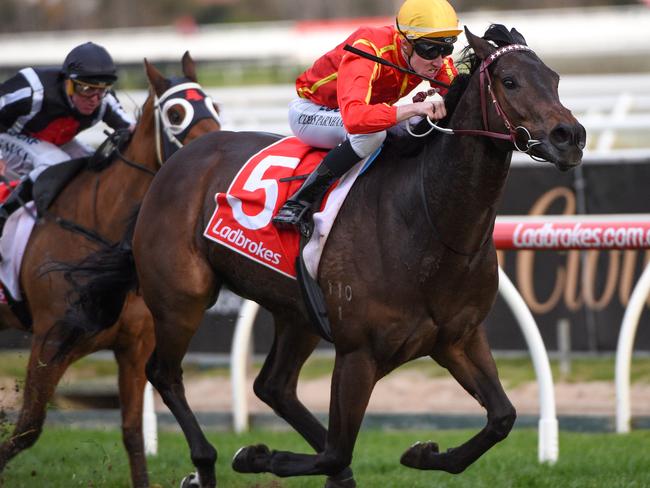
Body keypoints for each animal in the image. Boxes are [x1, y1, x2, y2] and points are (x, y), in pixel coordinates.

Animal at [0, 51, 220, 486]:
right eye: (175, 114)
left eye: (214, 106)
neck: (100, 222)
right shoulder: (50, 339)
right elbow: (28, 428)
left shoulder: (134, 346)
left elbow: (133, 434)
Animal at [58, 27, 584, 488]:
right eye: (510, 80)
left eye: (556, 77)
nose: (570, 136)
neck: (428, 220)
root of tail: (175, 162)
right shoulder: (358, 353)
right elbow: (337, 448)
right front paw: (254, 455)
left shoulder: (458, 338)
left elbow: (502, 417)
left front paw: (424, 453)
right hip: (181, 298)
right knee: (165, 373)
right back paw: (204, 464)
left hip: (297, 313)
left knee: (272, 386)